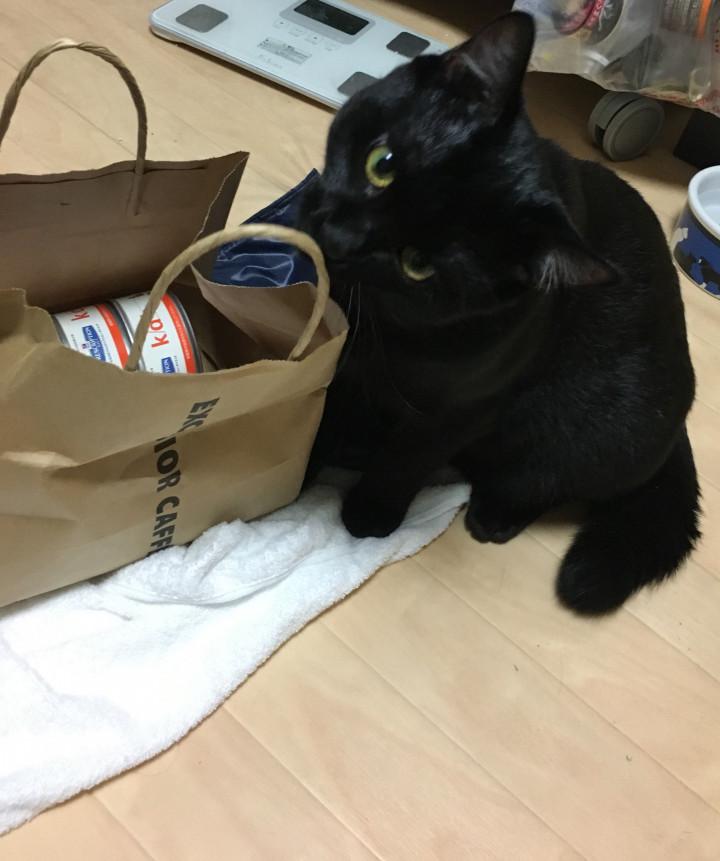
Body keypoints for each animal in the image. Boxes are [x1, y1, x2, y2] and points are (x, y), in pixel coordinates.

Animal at [297, 12, 700, 615]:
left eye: (419, 264)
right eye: (381, 164)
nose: (339, 240)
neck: (390, 332)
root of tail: (680, 431)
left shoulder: (463, 409)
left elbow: (407, 458)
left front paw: (370, 514)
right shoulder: (343, 362)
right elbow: (323, 413)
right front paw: (299, 472)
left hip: (602, 431)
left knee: (545, 481)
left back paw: (494, 515)